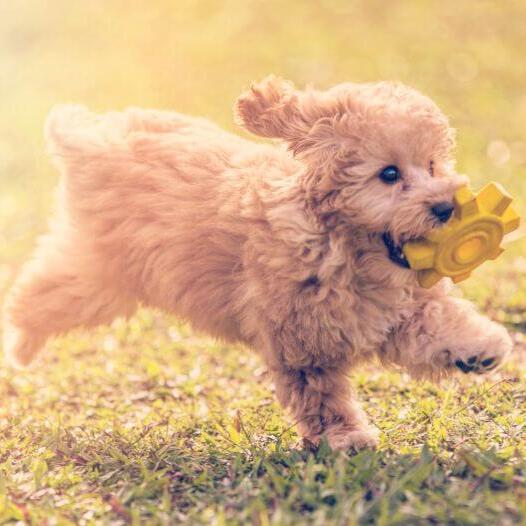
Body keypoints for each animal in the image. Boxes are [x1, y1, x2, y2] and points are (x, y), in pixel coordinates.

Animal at [2, 77, 512, 450]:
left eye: (433, 165)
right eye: (389, 174)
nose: (446, 207)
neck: (341, 247)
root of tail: (91, 138)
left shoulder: (396, 307)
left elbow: (436, 322)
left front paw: (482, 347)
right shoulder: (303, 342)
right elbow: (323, 396)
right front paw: (346, 438)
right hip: (99, 277)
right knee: (38, 295)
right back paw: (20, 346)